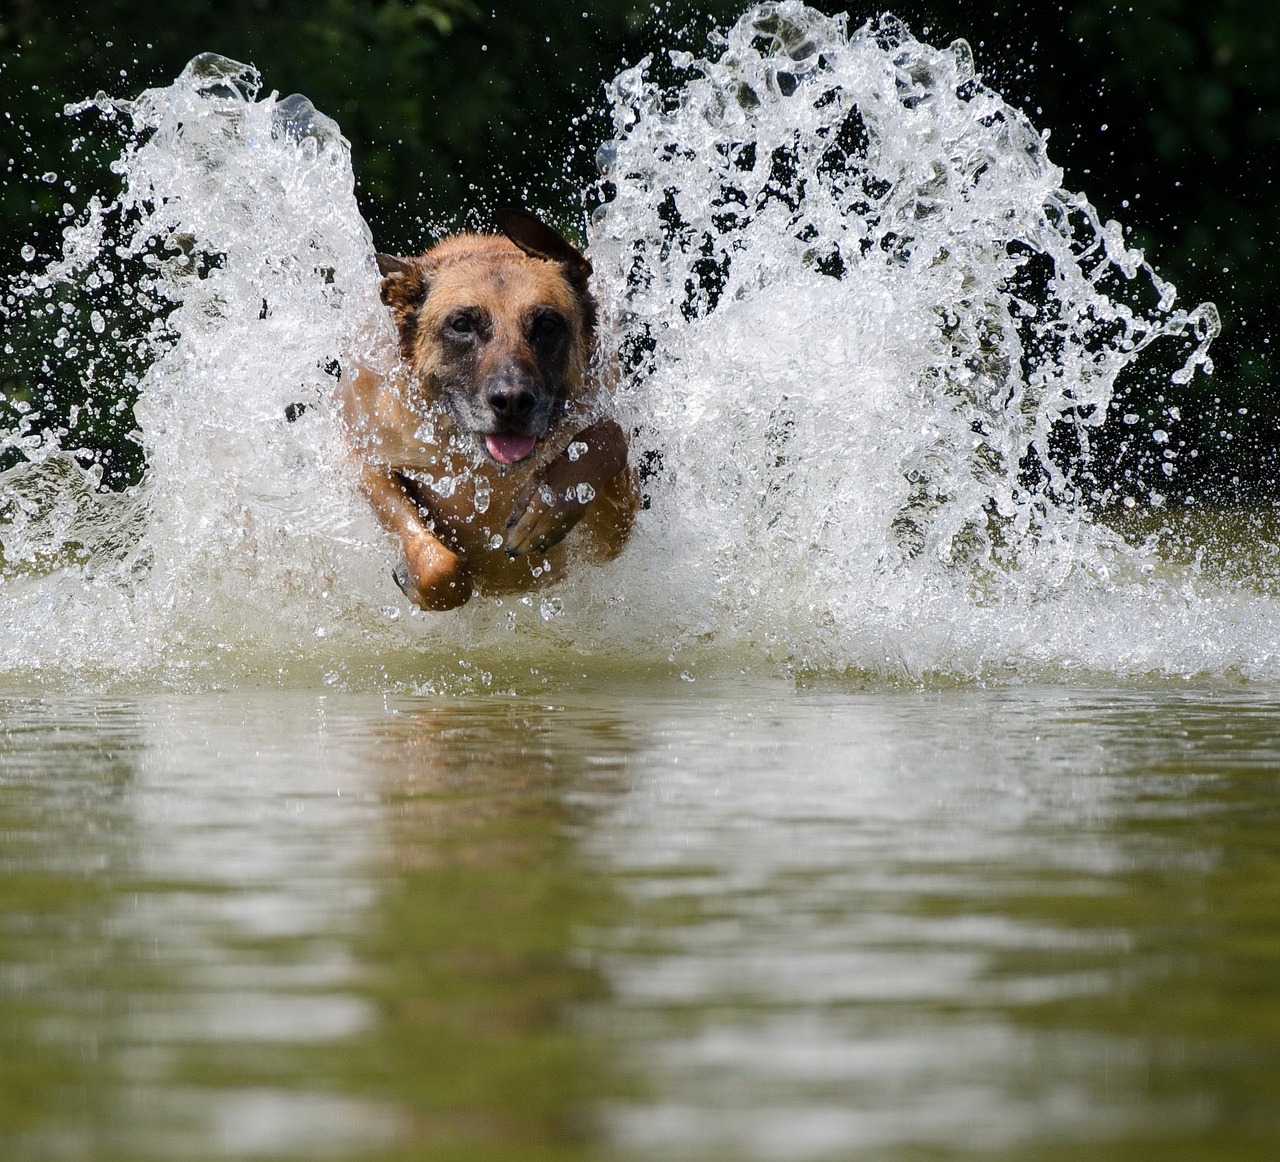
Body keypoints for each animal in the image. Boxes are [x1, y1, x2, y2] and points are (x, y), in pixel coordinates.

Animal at [337, 207, 637, 609]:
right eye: (461, 324)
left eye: (547, 324)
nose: (512, 400)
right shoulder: (362, 454)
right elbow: (440, 570)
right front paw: (414, 575)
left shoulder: (612, 537)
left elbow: (608, 437)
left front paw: (546, 506)